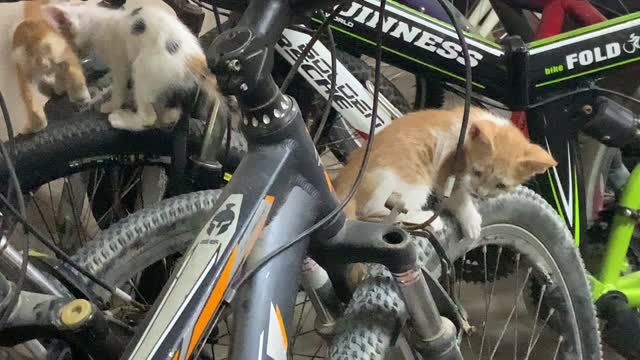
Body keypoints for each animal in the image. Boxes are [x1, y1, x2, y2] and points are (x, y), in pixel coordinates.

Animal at [11, 1, 90, 134]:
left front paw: (59, 88)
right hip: (64, 53)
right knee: (73, 71)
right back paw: (81, 97)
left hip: (24, 74)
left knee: (29, 98)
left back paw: (36, 125)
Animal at [332, 107, 556, 242]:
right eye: (477, 171)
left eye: (501, 185)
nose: (479, 194)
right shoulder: (447, 169)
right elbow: (457, 196)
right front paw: (471, 219)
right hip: (411, 177)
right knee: (373, 211)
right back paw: (426, 217)